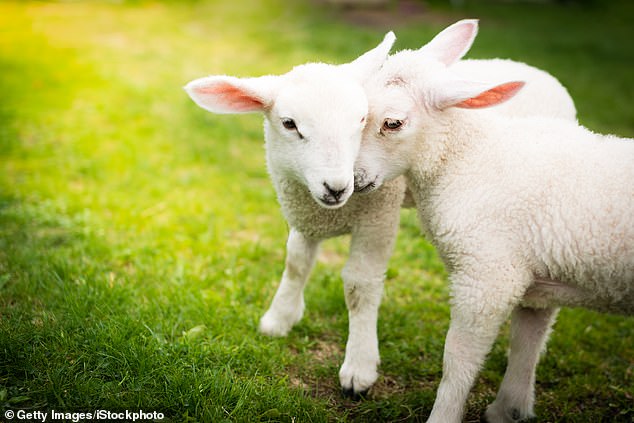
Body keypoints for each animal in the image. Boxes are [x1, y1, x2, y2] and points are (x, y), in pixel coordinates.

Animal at [184, 21, 576, 400]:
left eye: (361, 119)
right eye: (289, 124)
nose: (337, 187)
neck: (332, 210)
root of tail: (533, 69)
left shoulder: (378, 217)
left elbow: (360, 285)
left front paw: (358, 368)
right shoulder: (306, 213)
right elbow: (296, 262)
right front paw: (280, 318)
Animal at [354, 20, 628, 423]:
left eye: (392, 123)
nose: (349, 180)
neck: (468, 158)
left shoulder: (487, 277)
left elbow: (458, 361)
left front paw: (444, 415)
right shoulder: (539, 280)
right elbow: (527, 343)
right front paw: (509, 409)